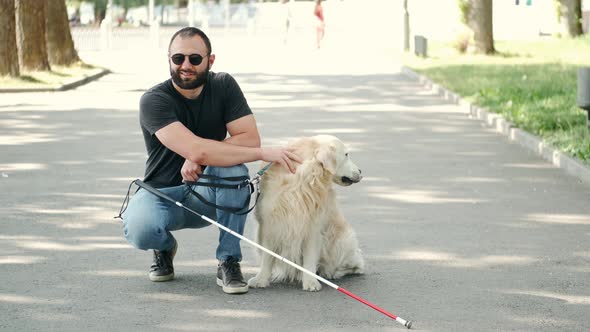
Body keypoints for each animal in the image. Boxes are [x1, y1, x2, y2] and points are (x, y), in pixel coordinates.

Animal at [246, 134, 366, 290]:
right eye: (346, 155)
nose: (361, 171)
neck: (304, 177)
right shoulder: (269, 225)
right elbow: (267, 257)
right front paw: (261, 279)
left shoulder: (313, 227)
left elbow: (309, 257)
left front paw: (310, 282)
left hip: (343, 240)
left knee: (356, 265)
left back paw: (330, 273)